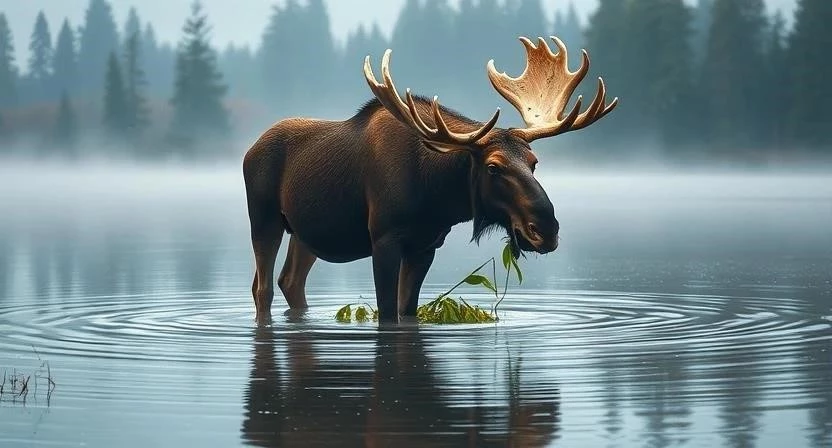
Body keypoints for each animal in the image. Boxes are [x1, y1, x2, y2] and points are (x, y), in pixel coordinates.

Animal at [242, 36, 618, 325]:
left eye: (534, 163)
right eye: (493, 167)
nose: (546, 230)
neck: (436, 196)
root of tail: (249, 150)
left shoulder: (426, 245)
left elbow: (406, 309)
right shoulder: (384, 238)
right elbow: (387, 311)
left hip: (303, 232)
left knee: (290, 280)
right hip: (264, 219)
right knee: (262, 286)